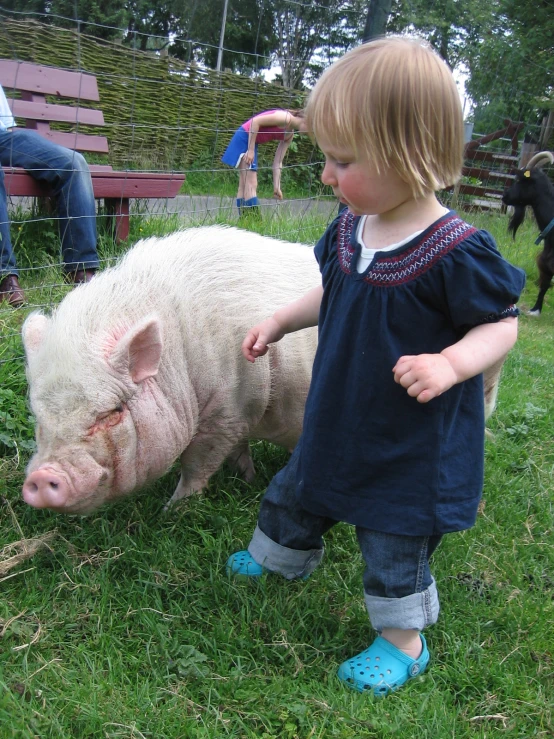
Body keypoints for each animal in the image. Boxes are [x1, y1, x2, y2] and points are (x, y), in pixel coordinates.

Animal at [21, 225, 320, 516]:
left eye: (113, 412)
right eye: (39, 416)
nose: (41, 477)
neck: (178, 358)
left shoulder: (226, 412)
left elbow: (197, 463)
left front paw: (172, 511)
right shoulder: (240, 413)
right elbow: (238, 450)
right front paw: (246, 480)